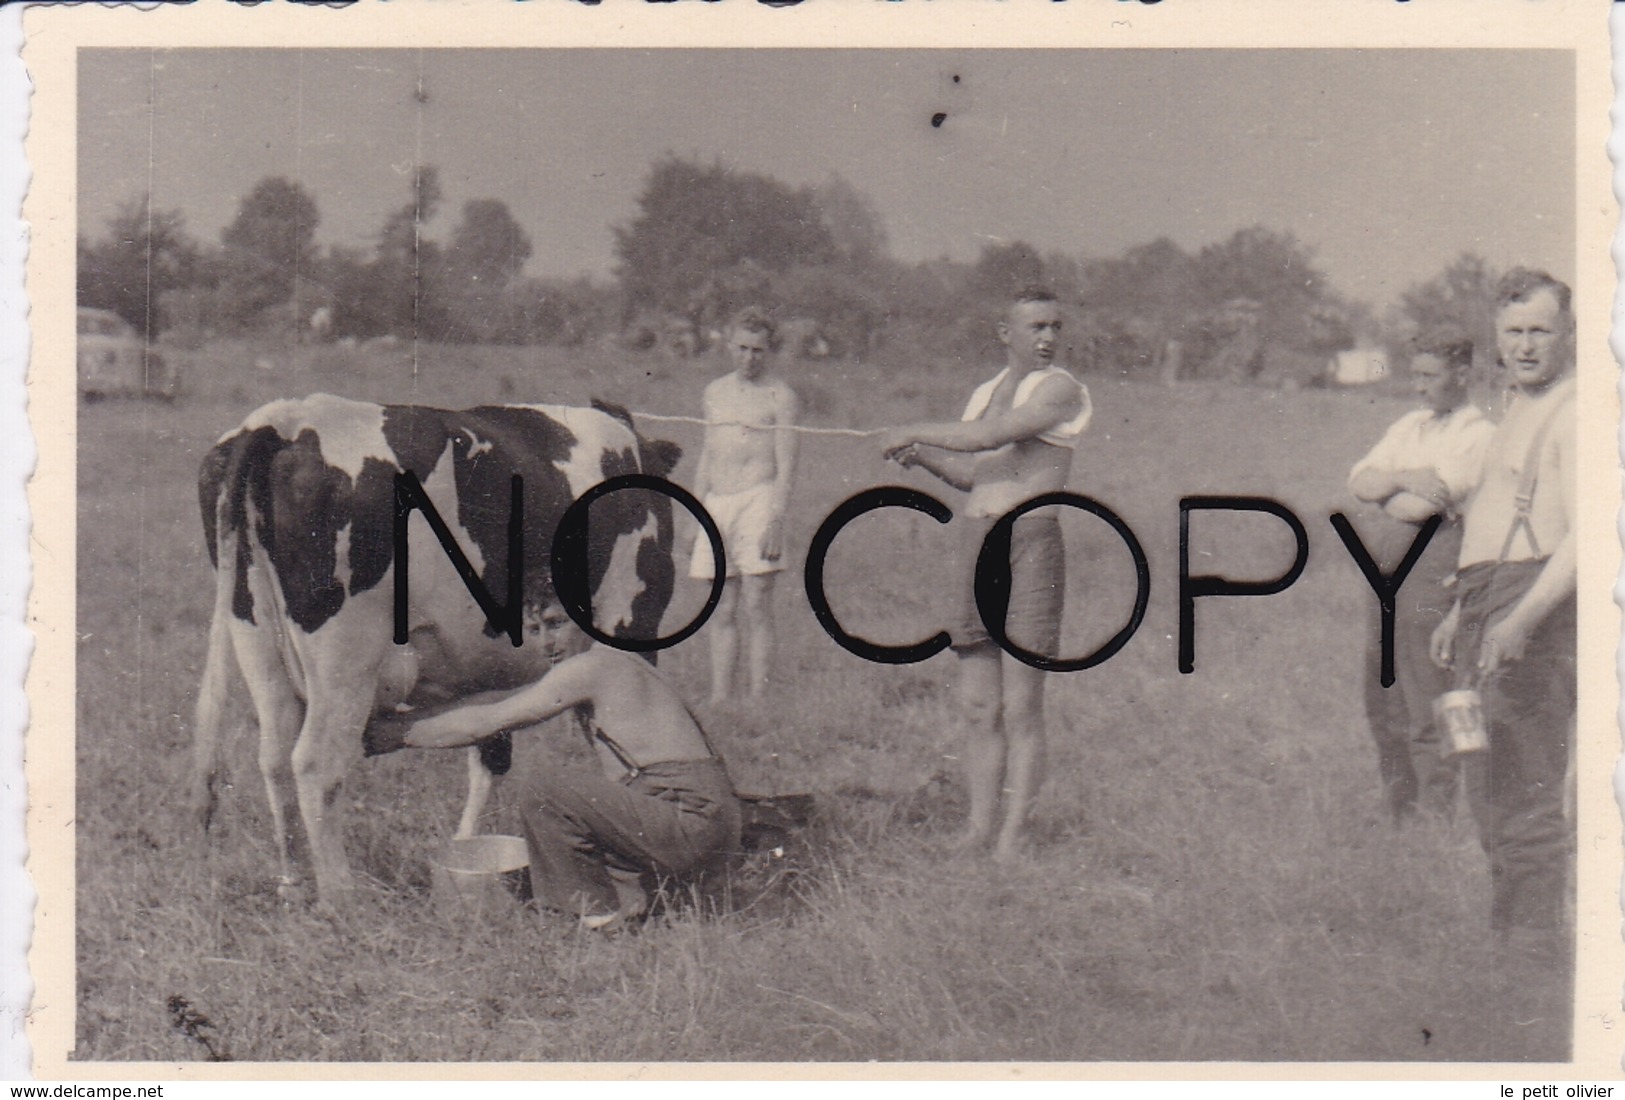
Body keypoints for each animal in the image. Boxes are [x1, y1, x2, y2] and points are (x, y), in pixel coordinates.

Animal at [193, 393, 682, 903]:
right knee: (314, 762)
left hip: (256, 639)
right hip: (345, 659)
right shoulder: (631, 620)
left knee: (273, 758)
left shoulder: (491, 669)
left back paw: (293, 885)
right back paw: (340, 895)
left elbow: (489, 749)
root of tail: (279, 419)